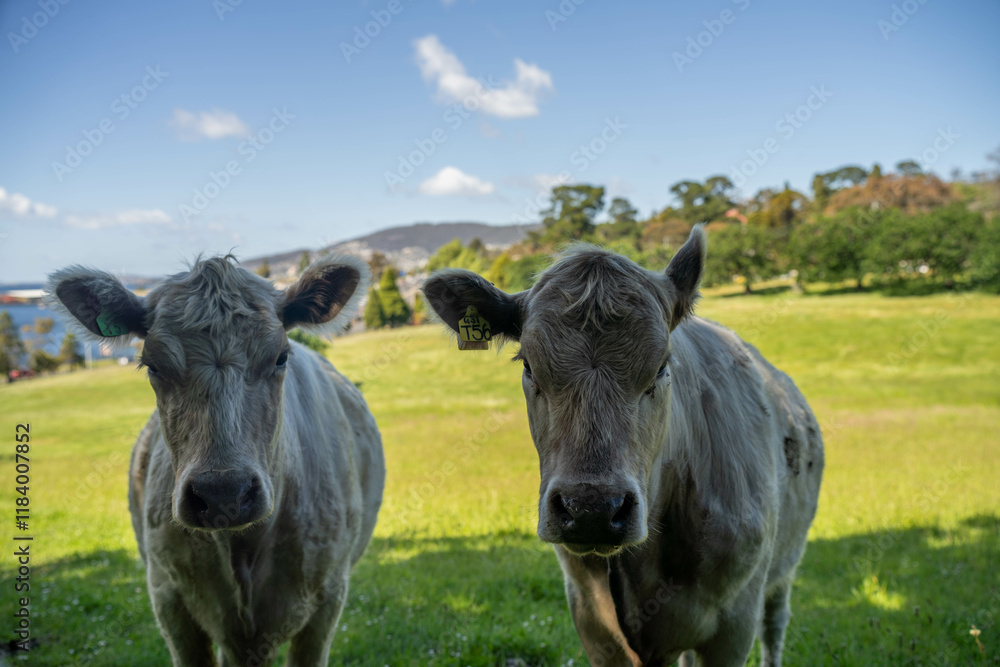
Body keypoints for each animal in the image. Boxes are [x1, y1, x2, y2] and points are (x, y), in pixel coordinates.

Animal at [46, 254, 385, 667]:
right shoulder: (168, 597)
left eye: (281, 357)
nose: (223, 492)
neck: (241, 548)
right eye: (152, 365)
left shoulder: (328, 598)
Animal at [423, 226, 824, 666]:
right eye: (528, 365)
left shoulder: (735, 622)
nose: (592, 508)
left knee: (776, 623)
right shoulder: (592, 620)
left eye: (663, 366)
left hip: (784, 567)